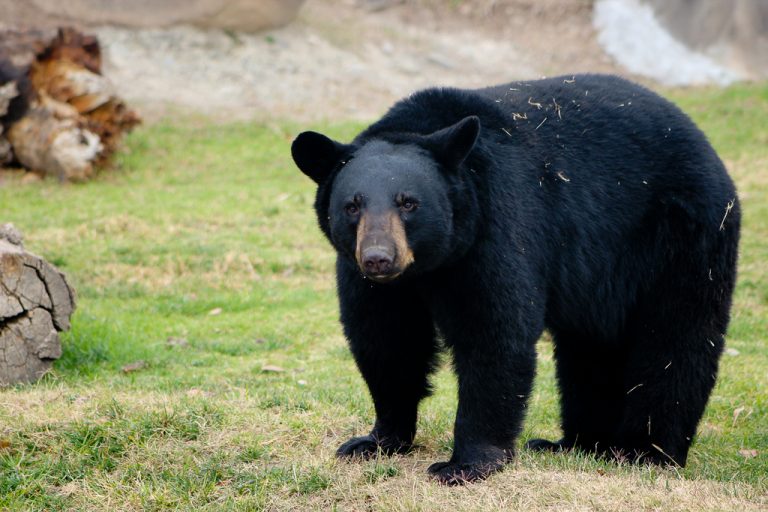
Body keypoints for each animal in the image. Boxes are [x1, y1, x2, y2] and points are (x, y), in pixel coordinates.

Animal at [288, 73, 736, 484]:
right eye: (352, 206)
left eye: (408, 203)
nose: (379, 259)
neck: (429, 266)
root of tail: (704, 143)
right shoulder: (371, 281)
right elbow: (386, 340)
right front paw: (376, 440)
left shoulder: (497, 224)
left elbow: (494, 331)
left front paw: (465, 464)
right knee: (591, 347)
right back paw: (577, 443)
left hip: (682, 236)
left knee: (676, 339)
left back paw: (645, 452)